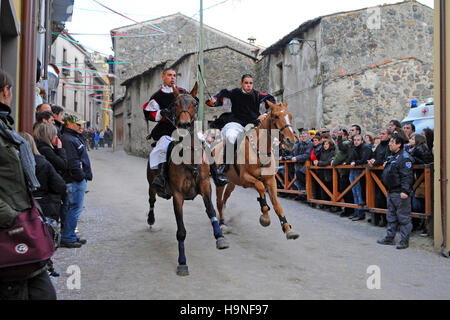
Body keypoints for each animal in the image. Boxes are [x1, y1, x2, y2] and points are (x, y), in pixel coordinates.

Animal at [146, 84, 229, 276]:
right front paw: (182, 262)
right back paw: (151, 220)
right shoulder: (177, 196)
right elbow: (181, 231)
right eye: (175, 104)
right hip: (151, 185)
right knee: (151, 199)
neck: (189, 156)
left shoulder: (205, 186)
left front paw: (220, 237)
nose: (184, 124)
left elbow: (211, 211)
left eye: (194, 103)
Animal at [214, 101, 298, 239]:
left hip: (232, 182)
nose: (290, 140)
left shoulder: (271, 181)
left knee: (225, 197)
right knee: (219, 202)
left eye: (290, 116)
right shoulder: (246, 178)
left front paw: (287, 228)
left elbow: (276, 205)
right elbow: (260, 187)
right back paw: (222, 224)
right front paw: (265, 217)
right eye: (276, 116)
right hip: (220, 182)